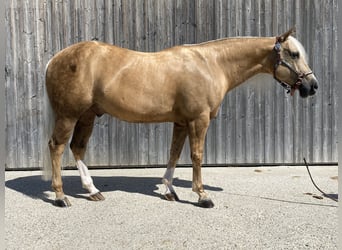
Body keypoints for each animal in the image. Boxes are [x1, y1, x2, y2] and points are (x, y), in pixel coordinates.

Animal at [45, 27, 318, 208]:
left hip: (87, 116)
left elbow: (174, 153)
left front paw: (169, 190)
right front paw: (203, 195)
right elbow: (196, 155)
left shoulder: (181, 121)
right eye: (294, 54)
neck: (211, 64)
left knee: (77, 148)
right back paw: (60, 196)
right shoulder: (199, 120)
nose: (312, 86)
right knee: (57, 147)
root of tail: (55, 59)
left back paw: (92, 190)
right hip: (68, 115)